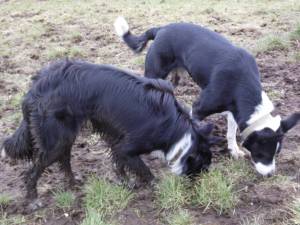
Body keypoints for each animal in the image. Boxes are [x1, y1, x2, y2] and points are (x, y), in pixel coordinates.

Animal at [1, 59, 214, 200]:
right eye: (202, 167)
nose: (199, 187)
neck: (176, 128)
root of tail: (38, 83)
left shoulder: (117, 142)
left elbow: (119, 165)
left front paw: (125, 182)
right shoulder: (127, 147)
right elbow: (143, 169)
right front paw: (154, 185)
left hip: (66, 136)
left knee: (64, 160)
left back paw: (73, 183)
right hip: (55, 140)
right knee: (34, 169)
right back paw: (32, 198)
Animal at [115, 17, 300, 176]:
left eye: (277, 153)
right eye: (261, 153)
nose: (270, 175)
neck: (242, 81)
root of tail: (161, 28)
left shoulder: (234, 109)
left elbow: (231, 132)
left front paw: (234, 151)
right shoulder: (199, 108)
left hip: (175, 77)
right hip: (156, 72)